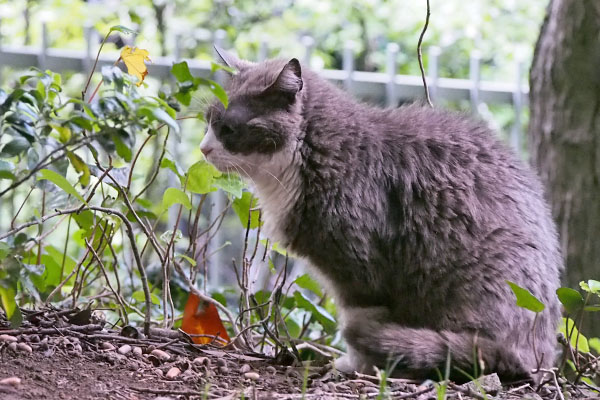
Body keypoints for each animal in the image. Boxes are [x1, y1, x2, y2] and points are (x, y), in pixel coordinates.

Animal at [200, 48, 564, 382]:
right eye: (208, 120)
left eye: (228, 129)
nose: (203, 149)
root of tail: (539, 353)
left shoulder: (360, 268)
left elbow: (358, 320)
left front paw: (356, 366)